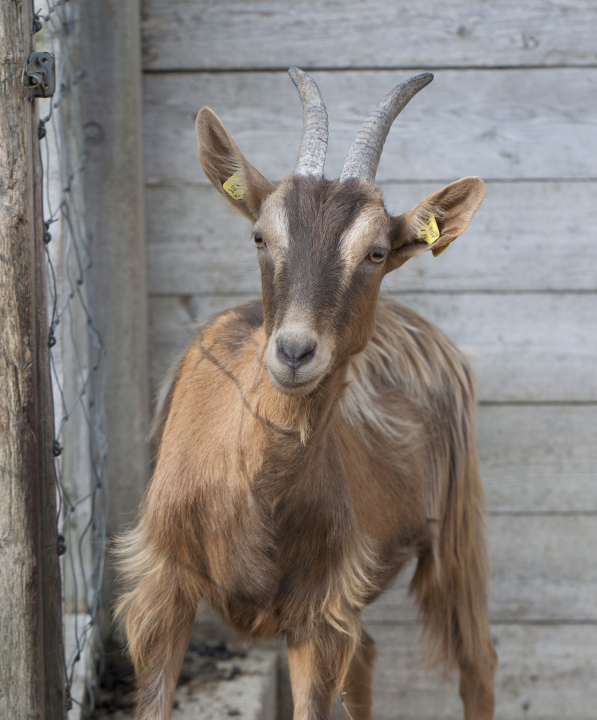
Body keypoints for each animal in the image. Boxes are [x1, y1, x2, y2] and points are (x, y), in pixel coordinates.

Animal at [116, 67, 494, 720]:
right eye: (260, 237)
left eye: (376, 252)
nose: (293, 353)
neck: (251, 498)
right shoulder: (161, 590)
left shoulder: (317, 616)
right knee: (367, 661)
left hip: (457, 525)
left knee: (477, 664)